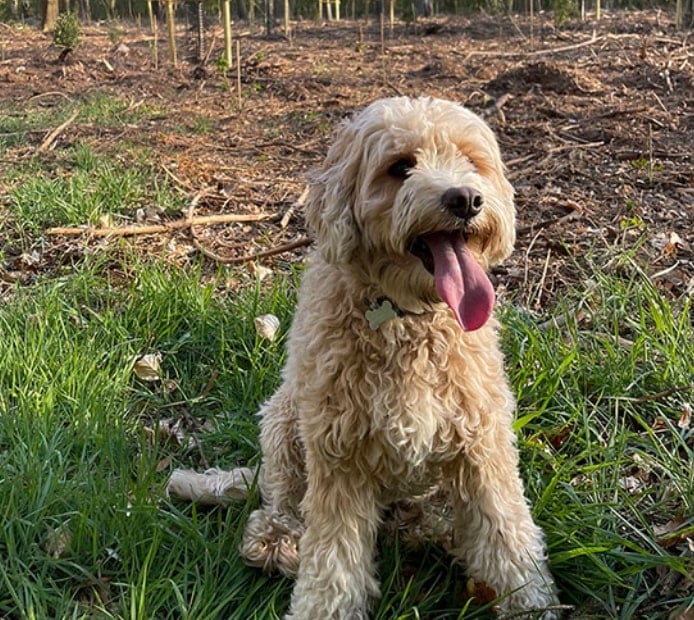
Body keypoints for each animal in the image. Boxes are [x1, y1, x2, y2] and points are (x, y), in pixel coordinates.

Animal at [239, 97, 560, 620]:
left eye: (471, 161)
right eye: (400, 167)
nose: (465, 199)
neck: (408, 317)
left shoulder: (481, 441)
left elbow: (507, 533)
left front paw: (530, 600)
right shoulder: (339, 452)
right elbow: (333, 557)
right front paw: (322, 607)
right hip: (285, 419)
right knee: (283, 495)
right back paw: (277, 538)